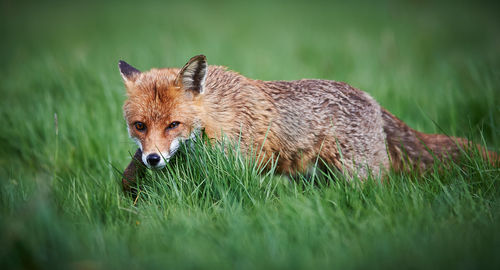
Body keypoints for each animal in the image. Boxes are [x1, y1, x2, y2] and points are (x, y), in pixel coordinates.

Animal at [119, 53, 498, 192]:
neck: (216, 114)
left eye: (173, 125)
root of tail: (371, 99)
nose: (153, 158)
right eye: (140, 126)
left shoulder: (238, 160)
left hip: (359, 176)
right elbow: (128, 174)